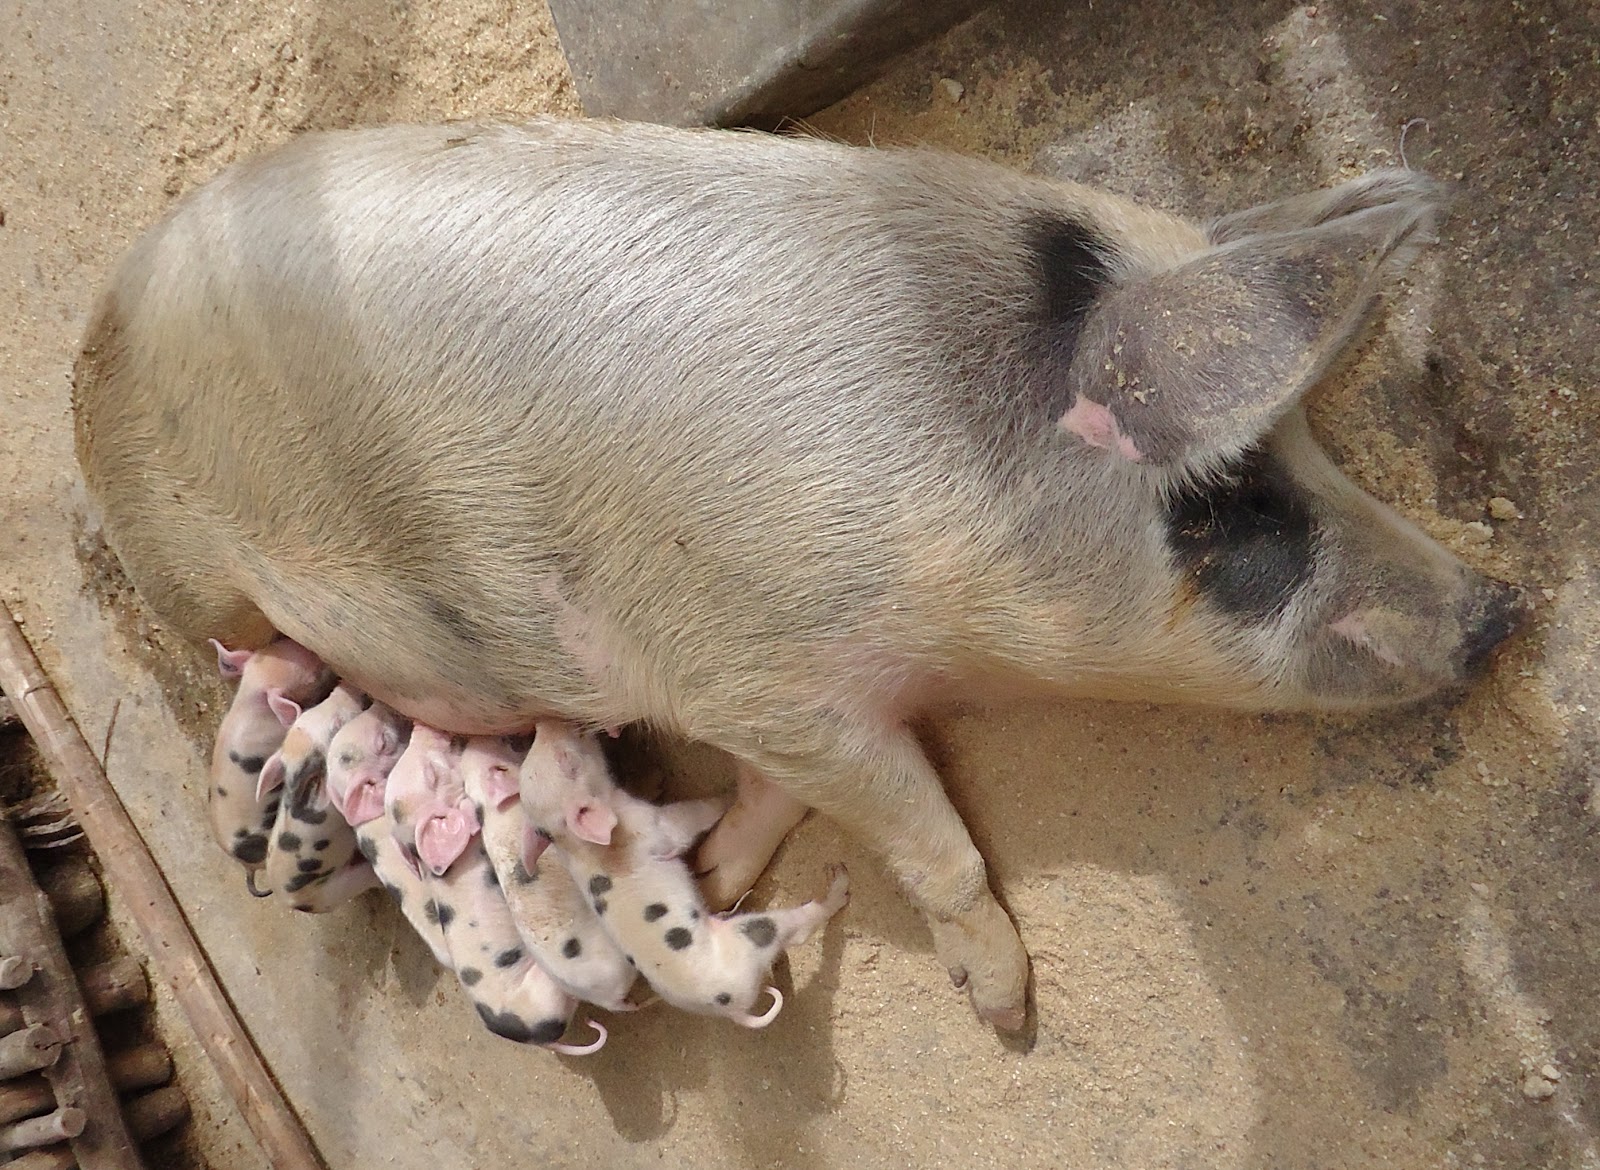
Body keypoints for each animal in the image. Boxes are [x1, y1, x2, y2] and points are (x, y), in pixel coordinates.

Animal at [519, 721, 849, 1026]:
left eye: (535, 752)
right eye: (567, 760)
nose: (543, 722)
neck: (575, 844)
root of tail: (735, 1010)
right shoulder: (656, 826)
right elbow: (694, 815)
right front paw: (728, 794)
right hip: (752, 936)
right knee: (796, 927)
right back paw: (840, 880)